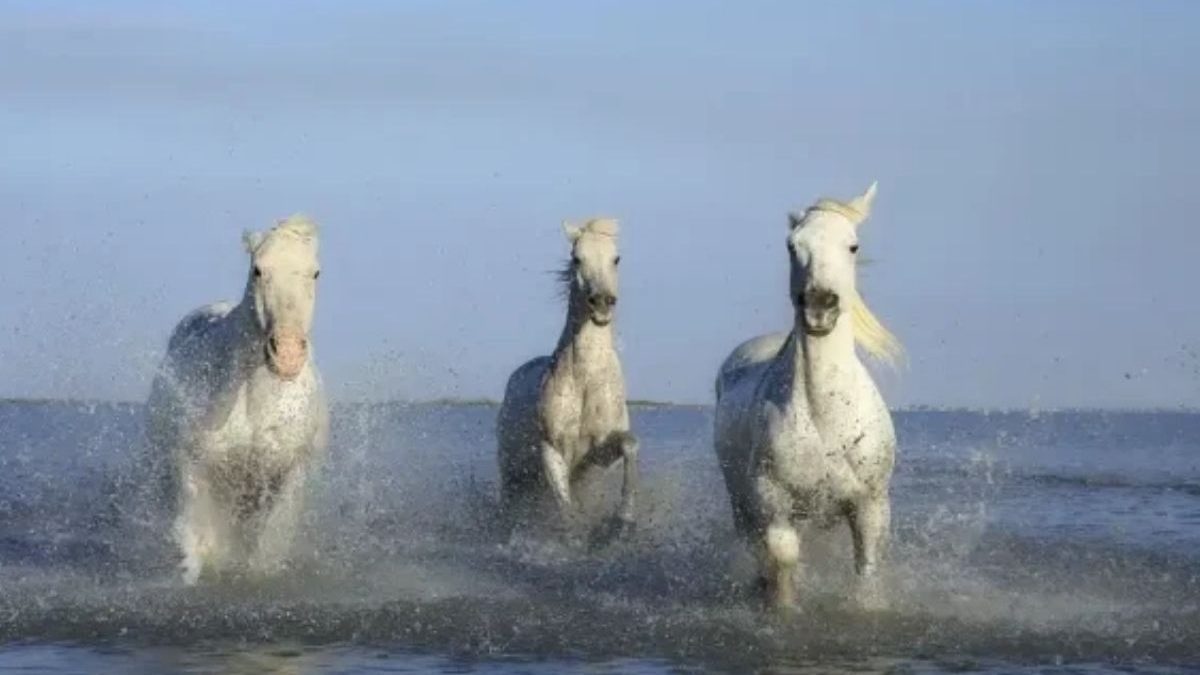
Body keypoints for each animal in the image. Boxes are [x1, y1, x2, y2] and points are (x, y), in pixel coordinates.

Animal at [146, 215, 329, 584]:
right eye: (258, 269)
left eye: (315, 272)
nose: (287, 354)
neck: (253, 398)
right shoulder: (193, 464)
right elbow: (199, 540)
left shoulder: (290, 473)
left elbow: (269, 546)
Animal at [496, 218, 639, 545]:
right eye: (577, 258)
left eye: (616, 258)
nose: (602, 303)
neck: (586, 380)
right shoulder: (551, 450)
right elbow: (565, 507)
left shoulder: (597, 455)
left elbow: (630, 445)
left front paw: (622, 522)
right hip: (512, 473)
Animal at [713, 182, 902, 611]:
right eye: (791, 245)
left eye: (852, 245)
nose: (819, 305)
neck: (825, 415)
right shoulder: (774, 505)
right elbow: (782, 560)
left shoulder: (870, 506)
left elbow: (866, 567)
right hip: (739, 502)